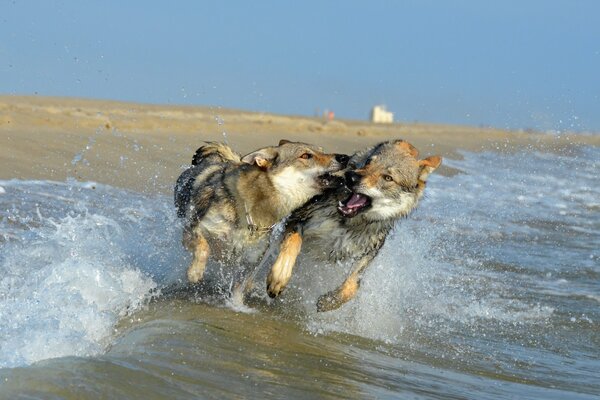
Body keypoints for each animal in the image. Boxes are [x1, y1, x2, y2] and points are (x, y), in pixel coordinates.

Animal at [173, 139, 350, 286]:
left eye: (322, 151)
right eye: (306, 155)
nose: (344, 157)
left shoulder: (250, 262)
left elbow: (240, 290)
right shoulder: (192, 230)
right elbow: (204, 248)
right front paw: (195, 272)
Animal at [266, 141, 440, 312]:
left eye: (388, 177)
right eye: (369, 162)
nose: (351, 177)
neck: (346, 223)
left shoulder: (367, 253)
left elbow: (353, 286)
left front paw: (329, 301)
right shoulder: (298, 219)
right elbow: (293, 242)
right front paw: (279, 277)